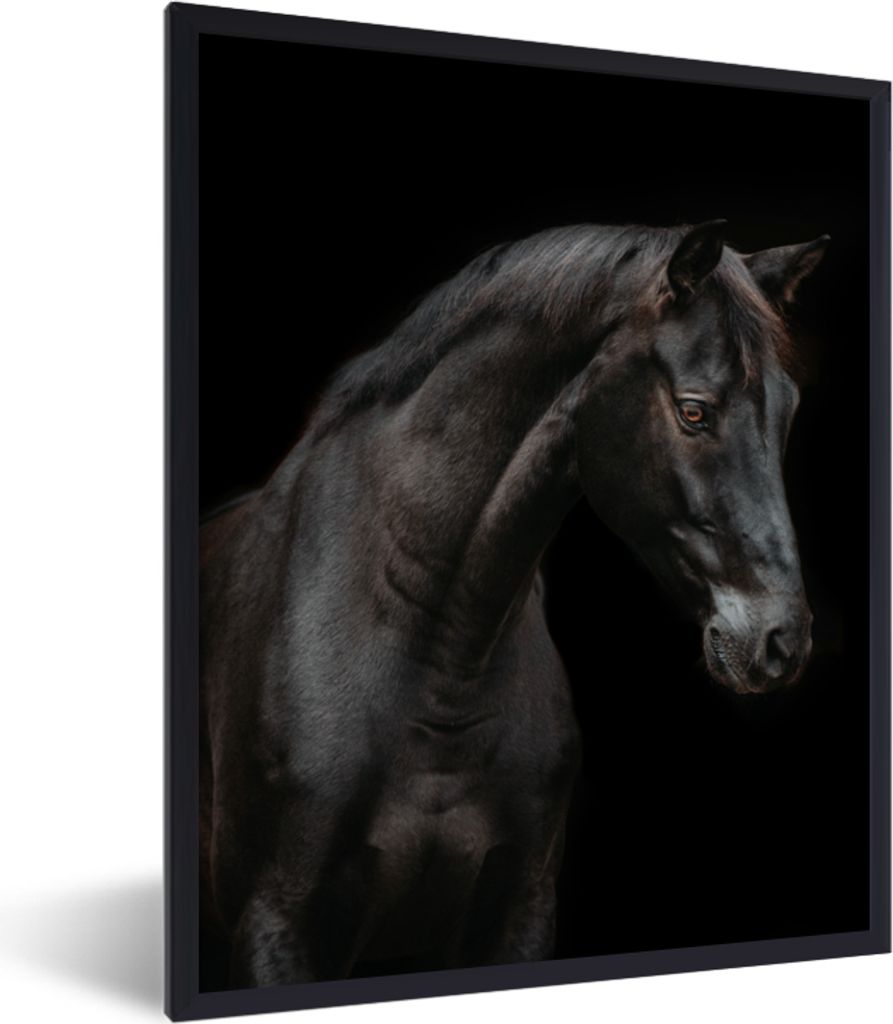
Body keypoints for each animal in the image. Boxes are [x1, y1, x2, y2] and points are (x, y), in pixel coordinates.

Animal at [199, 219, 828, 989]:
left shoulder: (515, 915)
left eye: (787, 410)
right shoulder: (276, 925)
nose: (780, 640)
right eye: (693, 411)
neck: (436, 665)